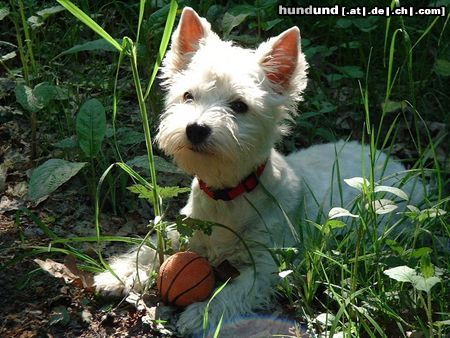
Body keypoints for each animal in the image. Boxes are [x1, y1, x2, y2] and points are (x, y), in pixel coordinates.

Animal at [95, 7, 422, 336]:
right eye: (188, 96)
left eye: (240, 106)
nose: (195, 129)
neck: (227, 193)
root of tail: (397, 164)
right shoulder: (188, 226)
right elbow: (151, 246)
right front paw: (117, 274)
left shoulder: (270, 263)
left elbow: (235, 290)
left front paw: (201, 313)